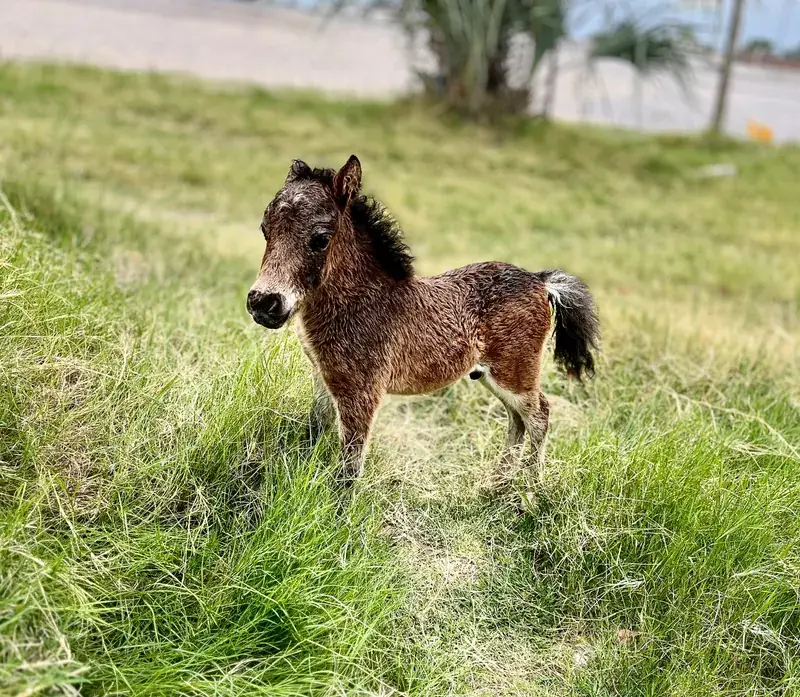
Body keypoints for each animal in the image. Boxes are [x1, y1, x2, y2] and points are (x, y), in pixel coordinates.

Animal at [247, 155, 599, 492]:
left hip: (515, 373)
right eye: (265, 229)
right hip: (491, 375)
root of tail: (540, 280)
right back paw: (497, 484)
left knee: (539, 414)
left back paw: (530, 490)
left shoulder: (362, 392)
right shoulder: (323, 376)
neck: (361, 301)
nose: (264, 303)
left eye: (320, 239)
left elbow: (349, 467)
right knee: (518, 419)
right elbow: (315, 430)